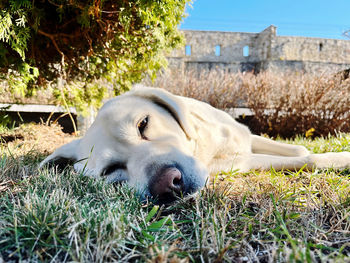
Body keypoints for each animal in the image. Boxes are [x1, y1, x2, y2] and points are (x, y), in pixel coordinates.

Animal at [41, 86, 350, 204]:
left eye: (143, 124)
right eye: (111, 170)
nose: (167, 183)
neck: (204, 145)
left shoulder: (248, 137)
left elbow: (298, 150)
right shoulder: (241, 162)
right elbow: (306, 159)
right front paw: (340, 157)